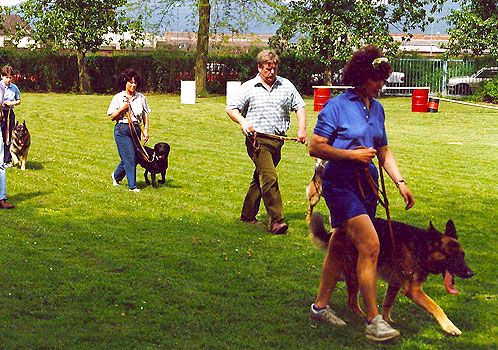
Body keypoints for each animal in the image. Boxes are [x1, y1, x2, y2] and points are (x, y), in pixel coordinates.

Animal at [312, 213, 474, 336]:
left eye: (463, 255)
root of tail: (336, 231)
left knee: (351, 300)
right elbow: (436, 306)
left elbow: (388, 303)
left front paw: (386, 320)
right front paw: (450, 327)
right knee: (349, 298)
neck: (421, 248)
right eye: (452, 257)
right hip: (355, 272)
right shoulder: (413, 290)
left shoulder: (395, 283)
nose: (471, 273)